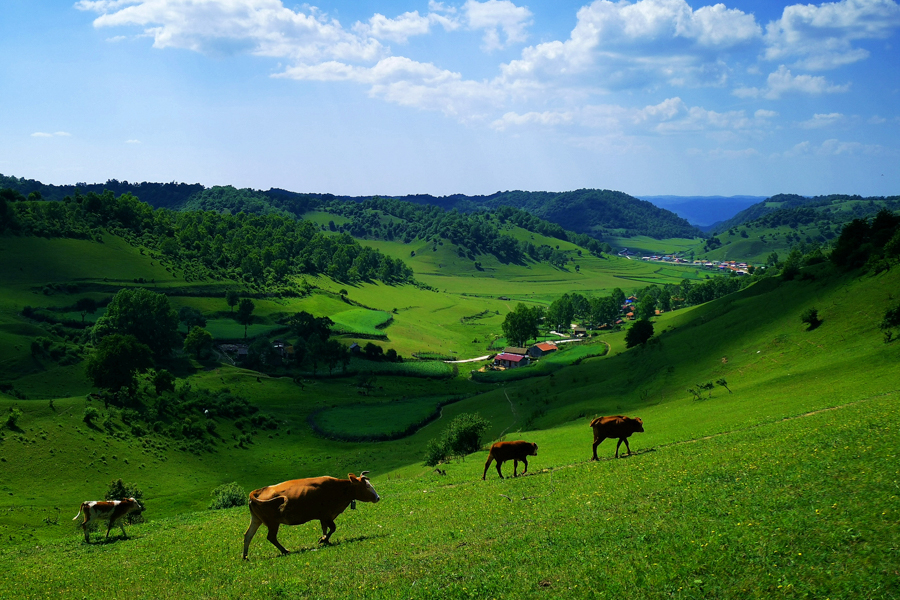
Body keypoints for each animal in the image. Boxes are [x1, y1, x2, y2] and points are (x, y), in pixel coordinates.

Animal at [243, 472, 380, 560]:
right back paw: (285, 551)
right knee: (271, 537)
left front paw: (325, 540)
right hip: (272, 522)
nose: (377, 497)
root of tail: (257, 491)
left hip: (256, 519)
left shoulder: (323, 517)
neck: (338, 489)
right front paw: (323, 540)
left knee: (248, 535)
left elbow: (325, 528)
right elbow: (333, 528)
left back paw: (245, 557)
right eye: (366, 485)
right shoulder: (326, 514)